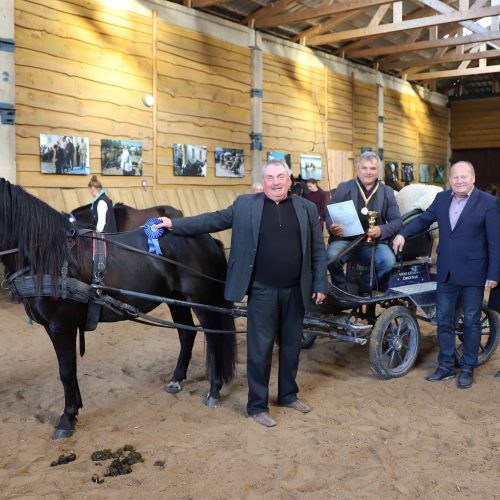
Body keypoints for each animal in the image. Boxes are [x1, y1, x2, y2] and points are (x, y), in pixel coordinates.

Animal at [0, 180, 236, 438]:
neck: (50, 257)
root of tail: (208, 239)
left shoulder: (60, 326)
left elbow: (66, 371)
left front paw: (67, 419)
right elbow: (70, 371)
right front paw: (75, 409)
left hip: (200, 300)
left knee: (213, 338)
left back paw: (214, 390)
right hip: (175, 299)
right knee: (186, 333)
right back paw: (176, 379)